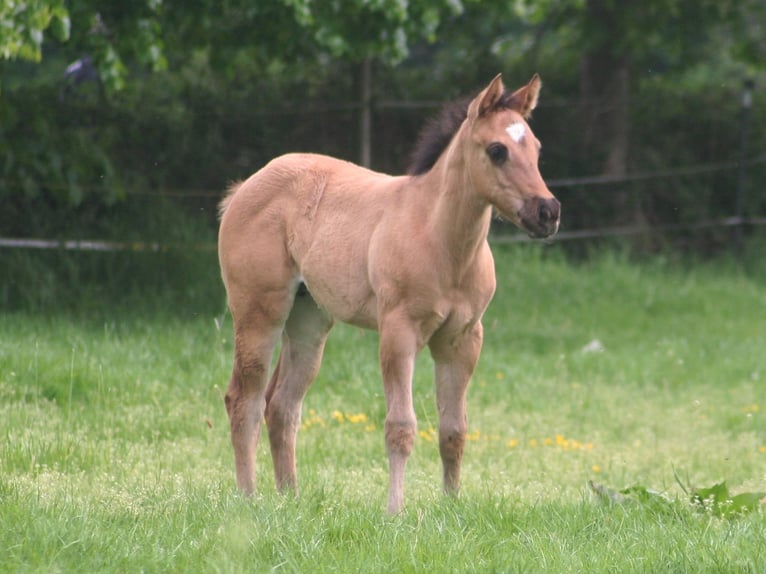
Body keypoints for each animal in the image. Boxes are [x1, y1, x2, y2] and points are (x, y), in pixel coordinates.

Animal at [217, 74, 560, 513]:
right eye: (497, 150)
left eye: (536, 148)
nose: (547, 213)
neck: (440, 240)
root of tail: (245, 187)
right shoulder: (399, 332)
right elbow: (401, 426)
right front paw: (395, 509)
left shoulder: (462, 339)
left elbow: (454, 430)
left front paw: (452, 505)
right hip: (259, 312)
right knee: (244, 399)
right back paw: (249, 499)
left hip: (309, 319)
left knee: (282, 406)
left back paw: (290, 499)